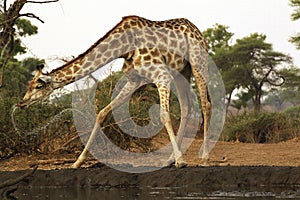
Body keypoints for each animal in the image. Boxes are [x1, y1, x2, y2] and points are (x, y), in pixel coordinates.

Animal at [18, 15, 211, 168]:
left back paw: (204, 156)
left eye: (38, 86)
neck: (124, 47)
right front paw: (77, 162)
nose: (22, 102)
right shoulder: (135, 80)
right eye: (28, 85)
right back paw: (170, 159)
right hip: (182, 71)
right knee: (187, 106)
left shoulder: (161, 75)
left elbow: (164, 115)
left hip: (197, 62)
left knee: (206, 104)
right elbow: (102, 112)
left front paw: (181, 161)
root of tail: (196, 29)